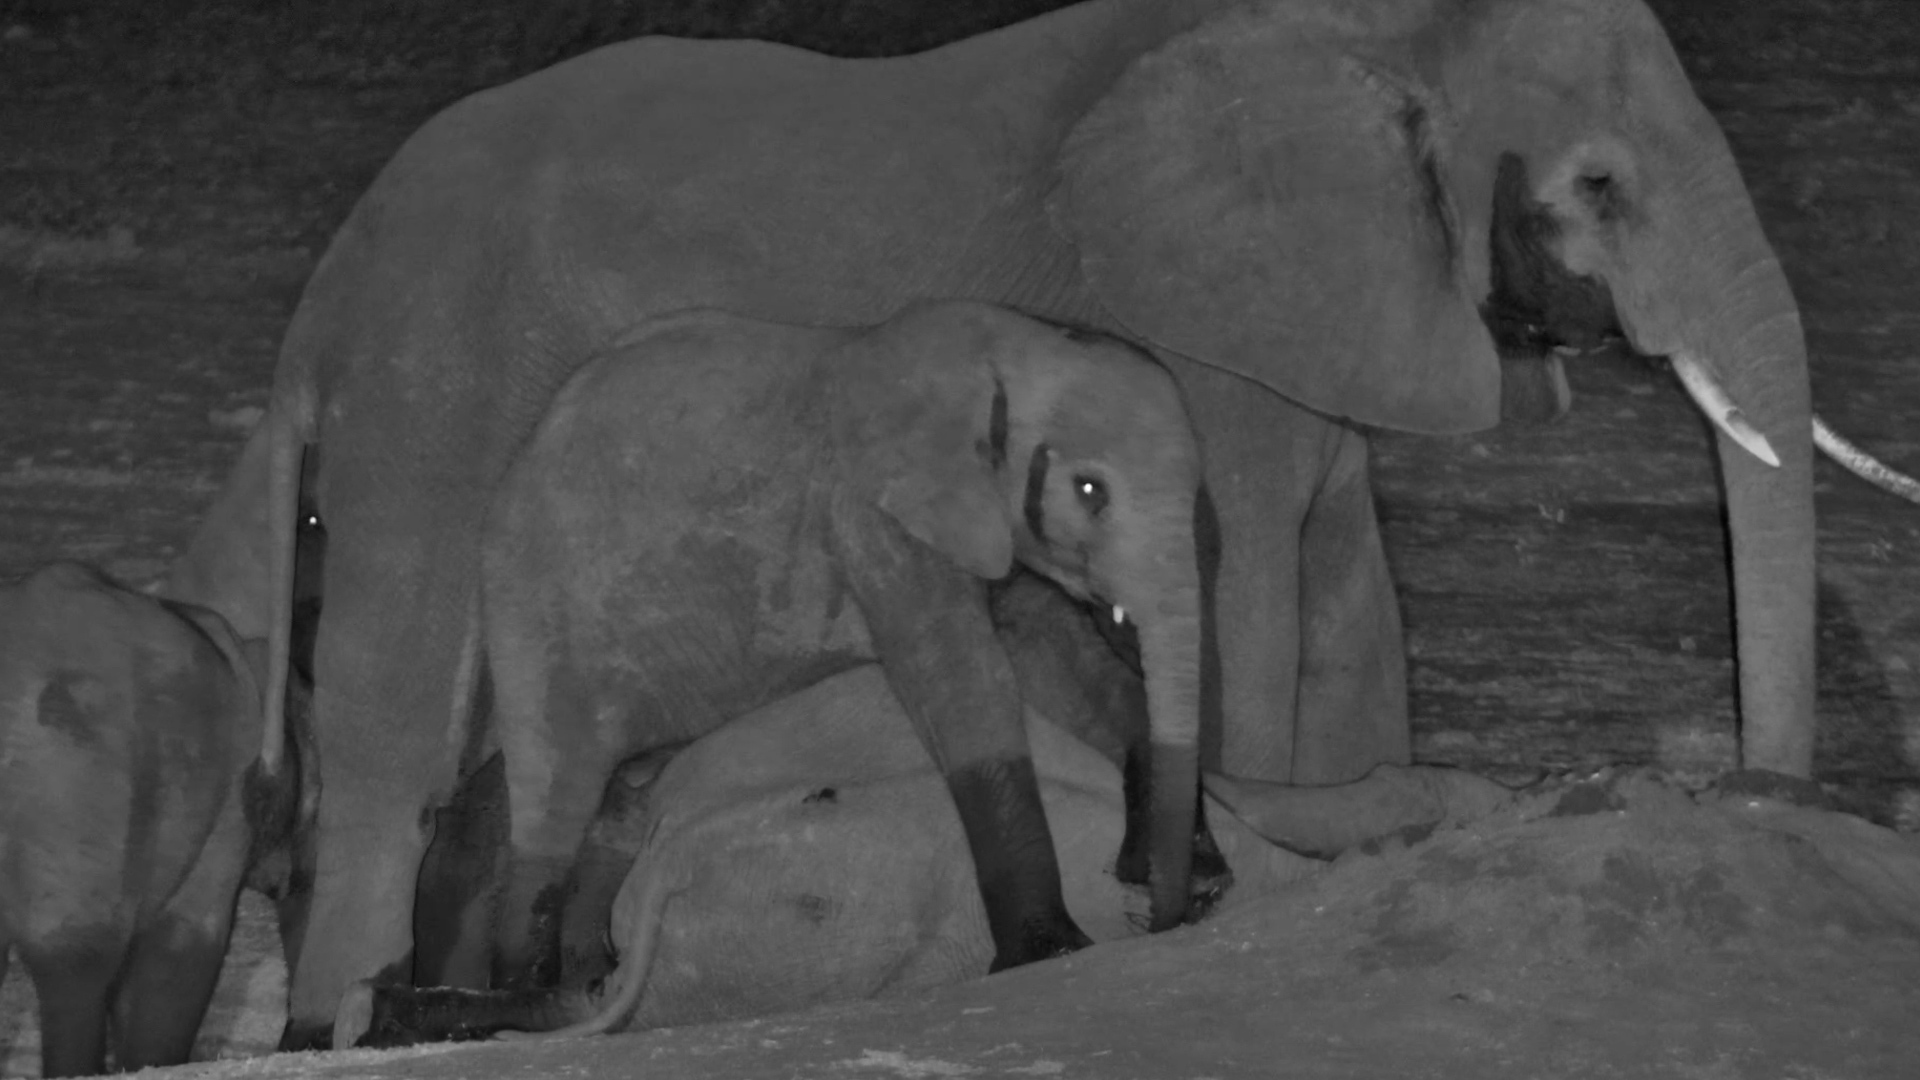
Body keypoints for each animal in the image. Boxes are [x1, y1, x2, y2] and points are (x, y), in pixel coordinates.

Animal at [477, 300, 1205, 986]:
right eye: (1089, 490)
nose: (1162, 917)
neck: (998, 343)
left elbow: (1056, 663)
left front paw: (1193, 875)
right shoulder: (869, 515)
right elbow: (966, 684)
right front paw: (1050, 951)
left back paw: (587, 974)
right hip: (535, 608)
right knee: (556, 792)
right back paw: (519, 995)